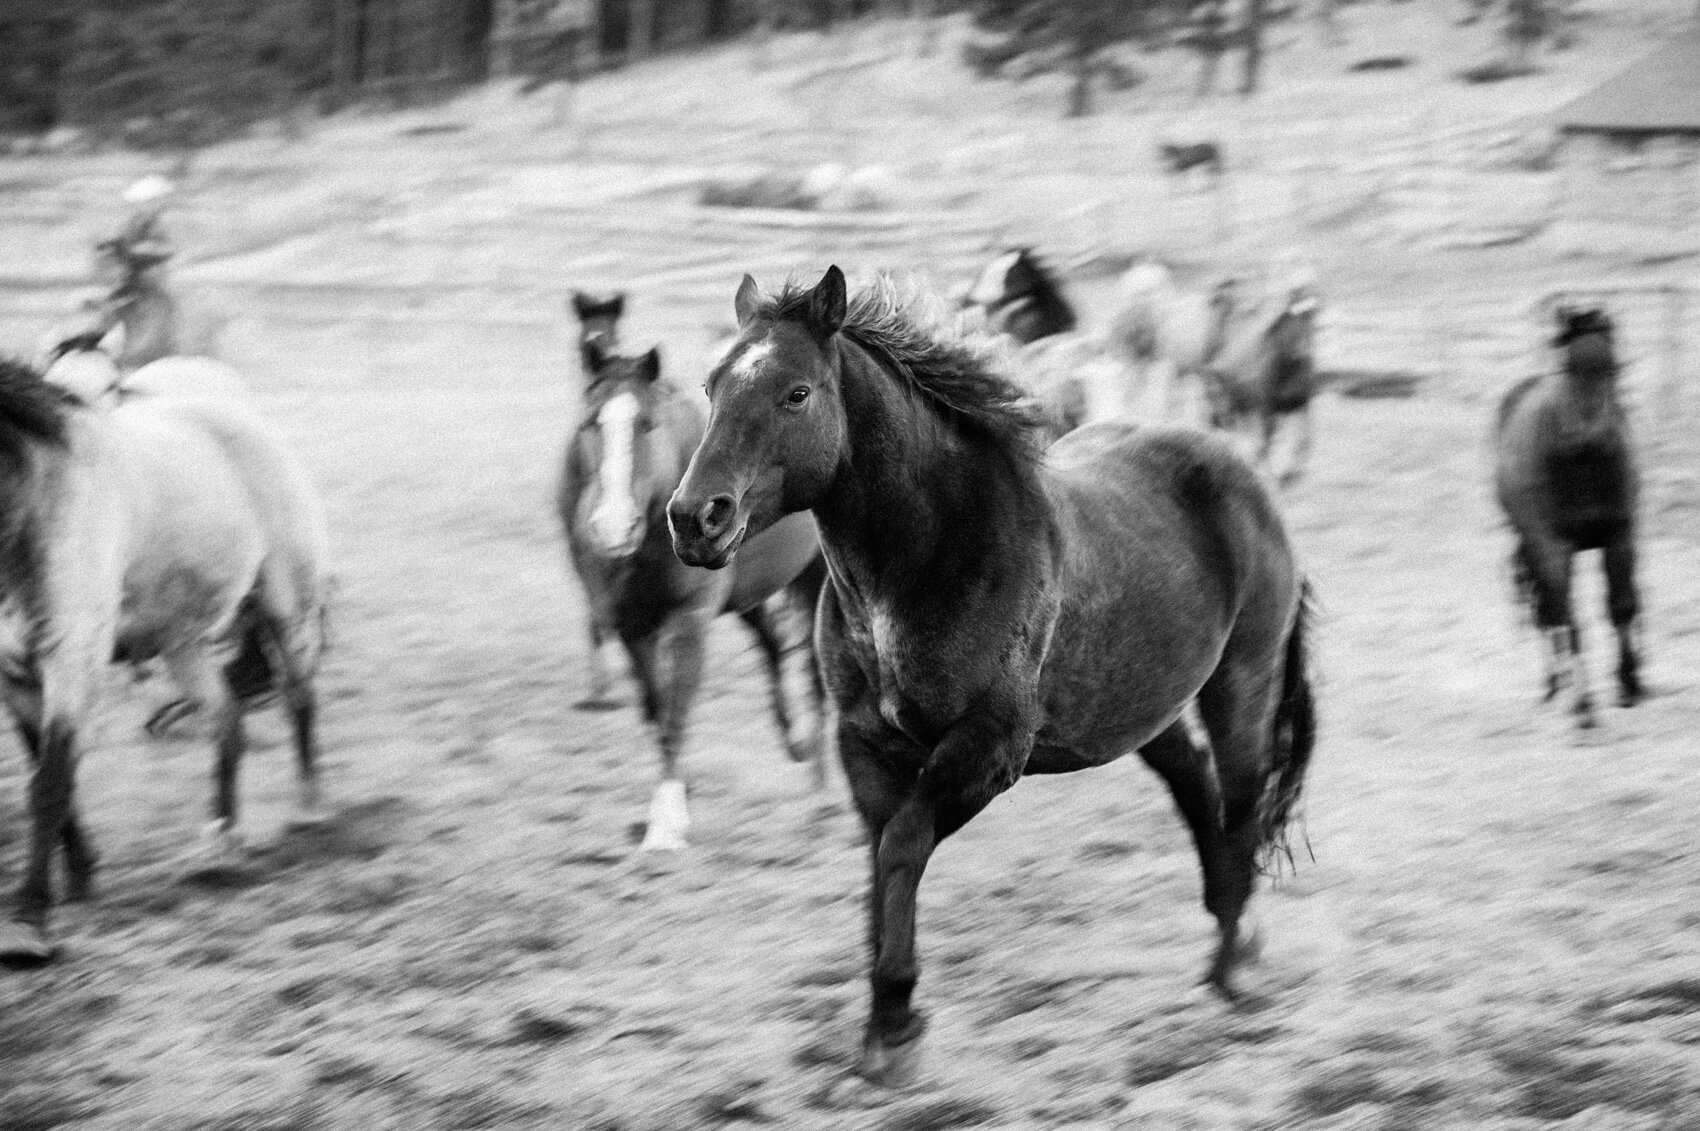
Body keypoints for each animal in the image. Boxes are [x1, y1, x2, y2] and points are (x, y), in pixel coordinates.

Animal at [554, 341, 826, 846]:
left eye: (646, 423)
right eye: (589, 423)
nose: (614, 527)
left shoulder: (690, 619)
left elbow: (677, 708)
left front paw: (665, 826)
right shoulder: (631, 625)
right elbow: (657, 707)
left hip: (817, 582)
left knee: (816, 670)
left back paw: (821, 781)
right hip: (748, 597)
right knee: (773, 644)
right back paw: (796, 744)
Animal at [1203, 287, 1319, 486]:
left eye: (1314, 313)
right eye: (1291, 317)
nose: (1304, 349)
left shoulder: (1299, 403)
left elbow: (1303, 442)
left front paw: (1291, 474)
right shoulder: (1264, 409)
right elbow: (1264, 446)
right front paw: (1273, 479)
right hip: (1227, 402)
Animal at [1496, 304, 1638, 727]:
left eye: (1612, 367)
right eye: (1567, 367)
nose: (1588, 435)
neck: (1584, 465)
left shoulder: (1620, 534)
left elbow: (1622, 605)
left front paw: (1630, 683)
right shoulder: (1551, 548)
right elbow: (1569, 619)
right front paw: (1584, 706)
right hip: (1533, 546)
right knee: (1546, 611)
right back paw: (1557, 685)